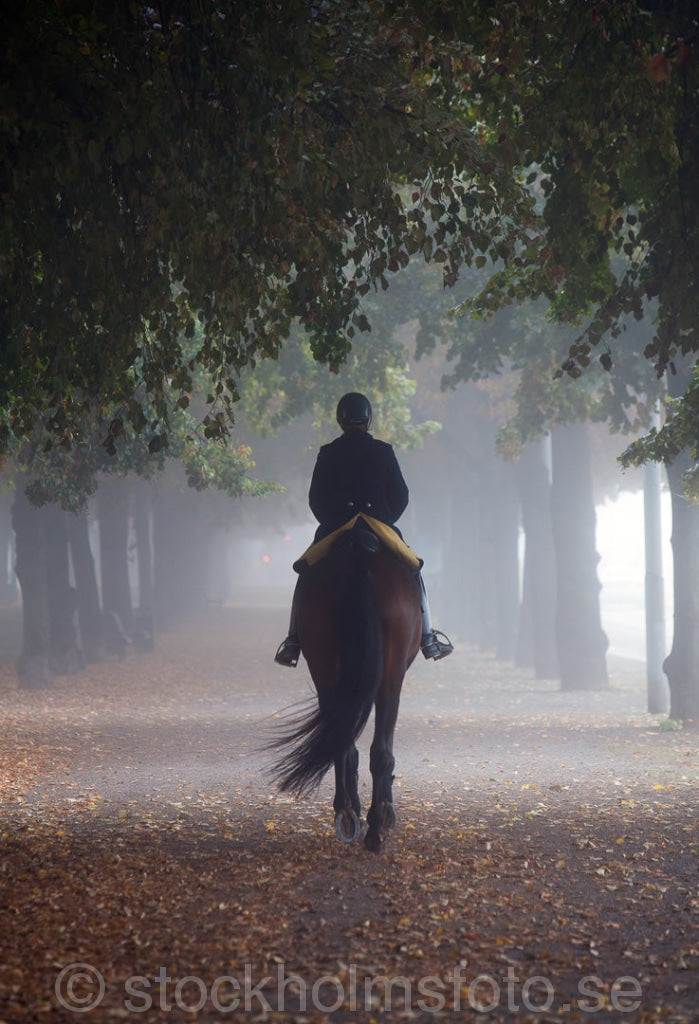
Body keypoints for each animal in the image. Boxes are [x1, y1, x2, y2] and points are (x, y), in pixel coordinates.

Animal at [268, 516, 421, 851]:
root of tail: (358, 554)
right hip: (389, 678)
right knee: (379, 748)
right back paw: (375, 824)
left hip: (324, 666)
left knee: (341, 739)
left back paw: (350, 815)